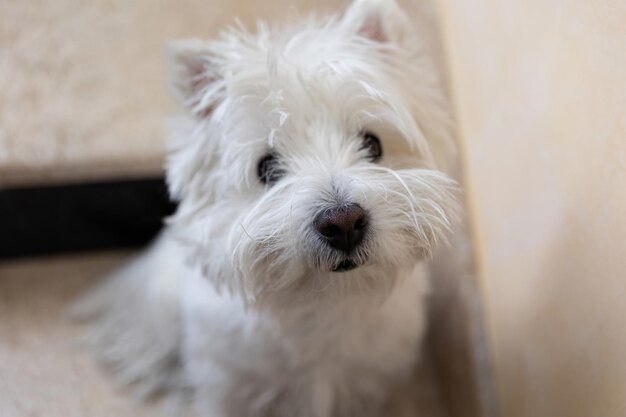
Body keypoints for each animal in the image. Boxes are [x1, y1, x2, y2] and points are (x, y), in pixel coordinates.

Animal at [78, 1, 456, 414]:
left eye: (372, 144)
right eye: (266, 168)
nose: (342, 222)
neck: (324, 306)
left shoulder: (368, 384)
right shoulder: (228, 384)